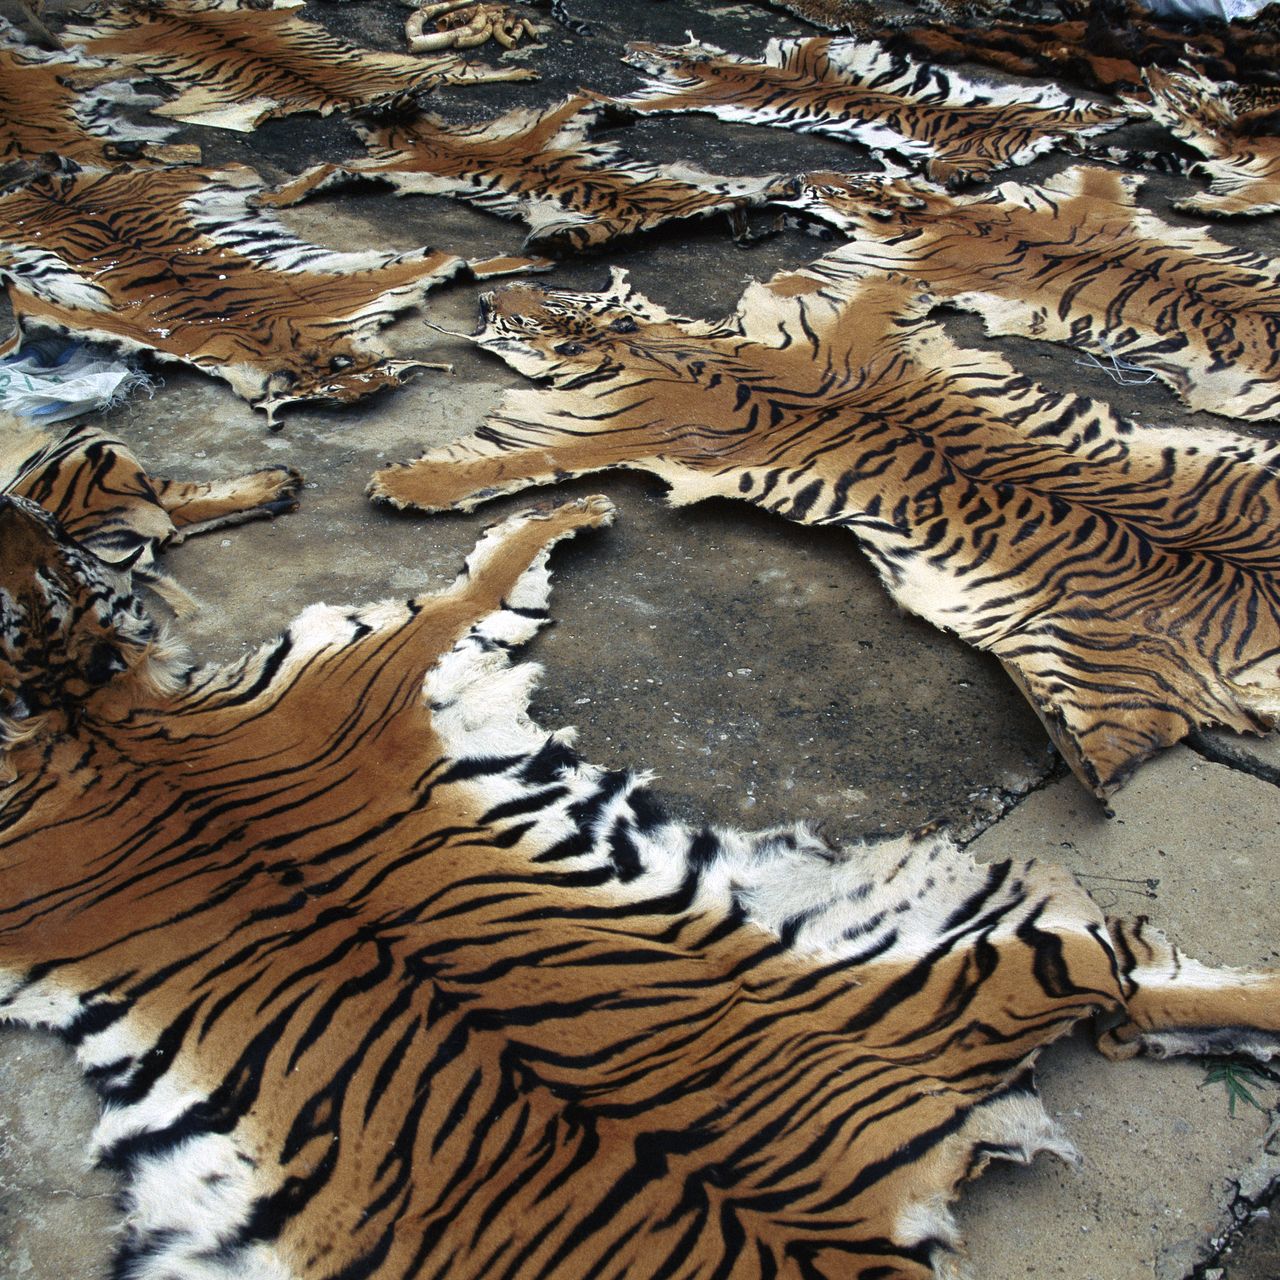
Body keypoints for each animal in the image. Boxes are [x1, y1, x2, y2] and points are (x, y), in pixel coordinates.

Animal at [2, 489, 1278, 1280]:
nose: (25, 502)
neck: (78, 705)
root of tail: (835, 1235)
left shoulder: (384, 652)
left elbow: (485, 570)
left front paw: (571, 508)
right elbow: (482, 579)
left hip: (944, 945)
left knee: (1141, 975)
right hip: (970, 946)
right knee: (1144, 983)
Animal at [368, 255, 1280, 800]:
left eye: (530, 312)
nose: (492, 290)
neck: (649, 347)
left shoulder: (613, 429)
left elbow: (511, 454)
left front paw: (407, 483)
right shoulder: (839, 338)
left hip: (1089, 690)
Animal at [604, 36, 1129, 188]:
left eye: (655, 47)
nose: (628, 46)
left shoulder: (701, 94)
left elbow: (651, 101)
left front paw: (612, 101)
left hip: (962, 155)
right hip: (1046, 102)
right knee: (1094, 110)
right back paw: (1128, 110)